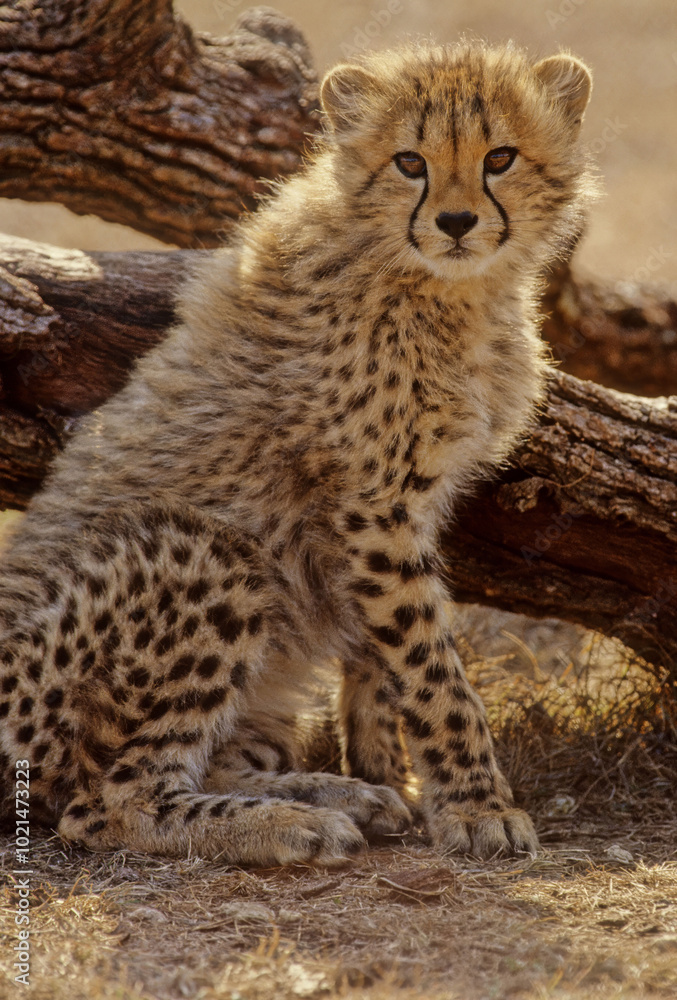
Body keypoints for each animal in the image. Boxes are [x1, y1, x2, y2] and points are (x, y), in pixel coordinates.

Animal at [0, 39, 594, 866]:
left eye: (499, 157)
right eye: (409, 162)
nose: (454, 221)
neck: (448, 287)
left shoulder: (397, 509)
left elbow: (383, 656)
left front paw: (389, 771)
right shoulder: (376, 503)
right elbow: (432, 668)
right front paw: (478, 806)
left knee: (206, 761)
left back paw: (339, 796)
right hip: (203, 554)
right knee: (105, 803)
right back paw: (284, 825)